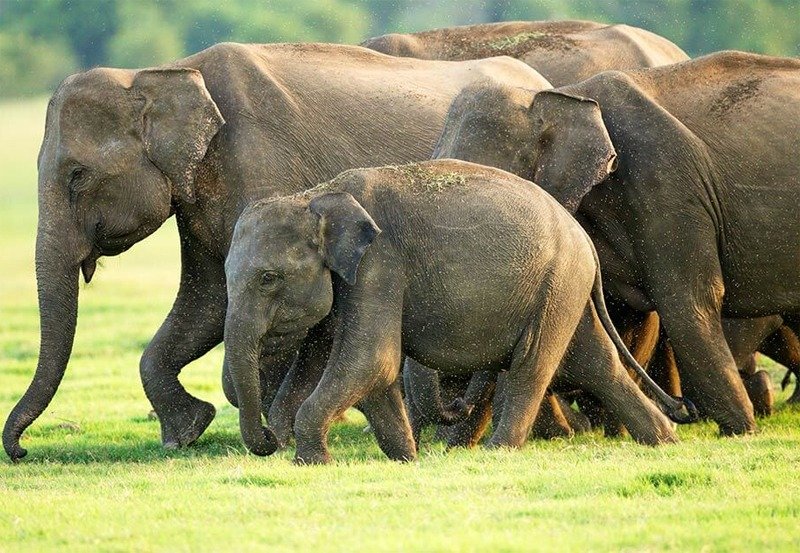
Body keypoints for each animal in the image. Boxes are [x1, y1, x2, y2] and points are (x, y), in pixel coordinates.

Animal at [2, 40, 550, 461]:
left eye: (77, 175)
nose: (22, 451)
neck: (166, 70)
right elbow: (207, 300)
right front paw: (188, 432)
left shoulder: (260, 168)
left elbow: (277, 315)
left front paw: (276, 435)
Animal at [223, 159, 695, 464]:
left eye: (268, 279)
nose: (270, 439)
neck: (316, 197)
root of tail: (584, 239)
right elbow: (361, 368)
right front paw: (406, 459)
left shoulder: (380, 265)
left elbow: (371, 360)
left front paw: (314, 462)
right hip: (564, 289)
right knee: (596, 363)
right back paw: (665, 441)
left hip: (556, 283)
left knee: (532, 364)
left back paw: (497, 452)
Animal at [431, 50, 800, 436]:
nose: (683, 408)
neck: (565, 95)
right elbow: (625, 311)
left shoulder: (666, 188)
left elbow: (689, 300)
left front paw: (741, 432)